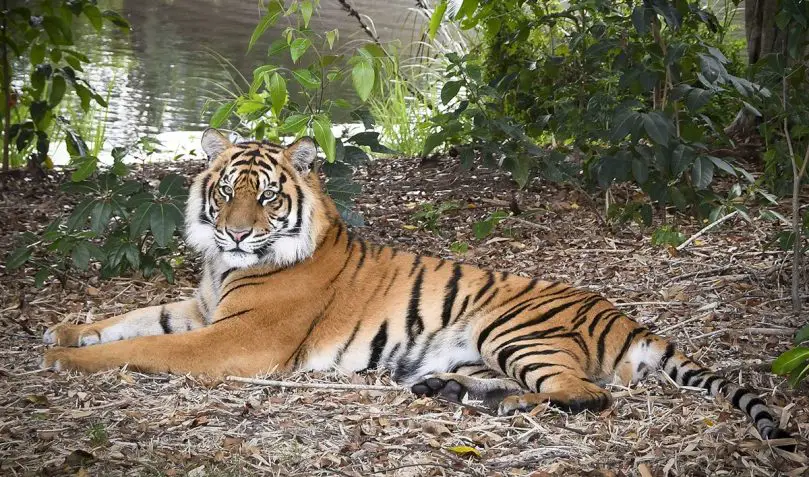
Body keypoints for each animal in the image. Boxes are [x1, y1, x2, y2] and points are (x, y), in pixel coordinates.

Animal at [43, 128, 790, 443]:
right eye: (226, 191)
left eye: (265, 198)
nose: (232, 233)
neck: (225, 268)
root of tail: (626, 316)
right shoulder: (198, 307)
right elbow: (130, 318)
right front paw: (63, 330)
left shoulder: (237, 339)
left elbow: (142, 348)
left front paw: (64, 358)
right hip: (479, 348)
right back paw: (449, 390)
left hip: (512, 329)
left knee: (588, 396)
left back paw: (501, 405)